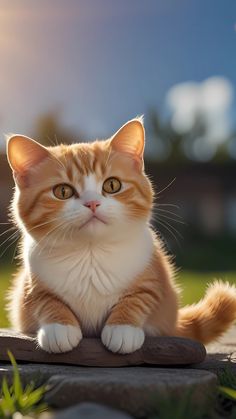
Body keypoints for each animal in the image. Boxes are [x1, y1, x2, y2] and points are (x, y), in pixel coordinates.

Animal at [5, 118, 236, 354]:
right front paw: (59, 328)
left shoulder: (154, 274)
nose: (92, 203)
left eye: (112, 185)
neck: (91, 253)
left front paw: (122, 328)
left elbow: (140, 297)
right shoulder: (30, 282)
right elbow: (43, 299)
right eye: (62, 191)